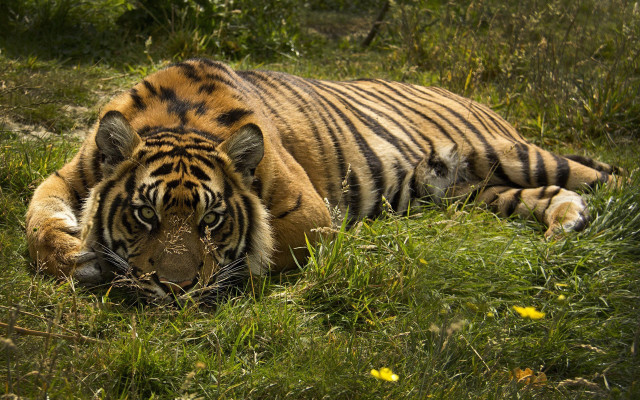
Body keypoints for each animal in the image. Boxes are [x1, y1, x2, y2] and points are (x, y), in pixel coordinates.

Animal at [25, 58, 620, 301]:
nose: (176, 288)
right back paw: (563, 226)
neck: (179, 120)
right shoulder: (65, 174)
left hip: (511, 153)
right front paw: (78, 257)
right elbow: (37, 219)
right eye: (145, 214)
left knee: (605, 174)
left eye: (211, 220)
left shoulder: (308, 215)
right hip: (475, 191)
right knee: (546, 194)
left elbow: (259, 248)